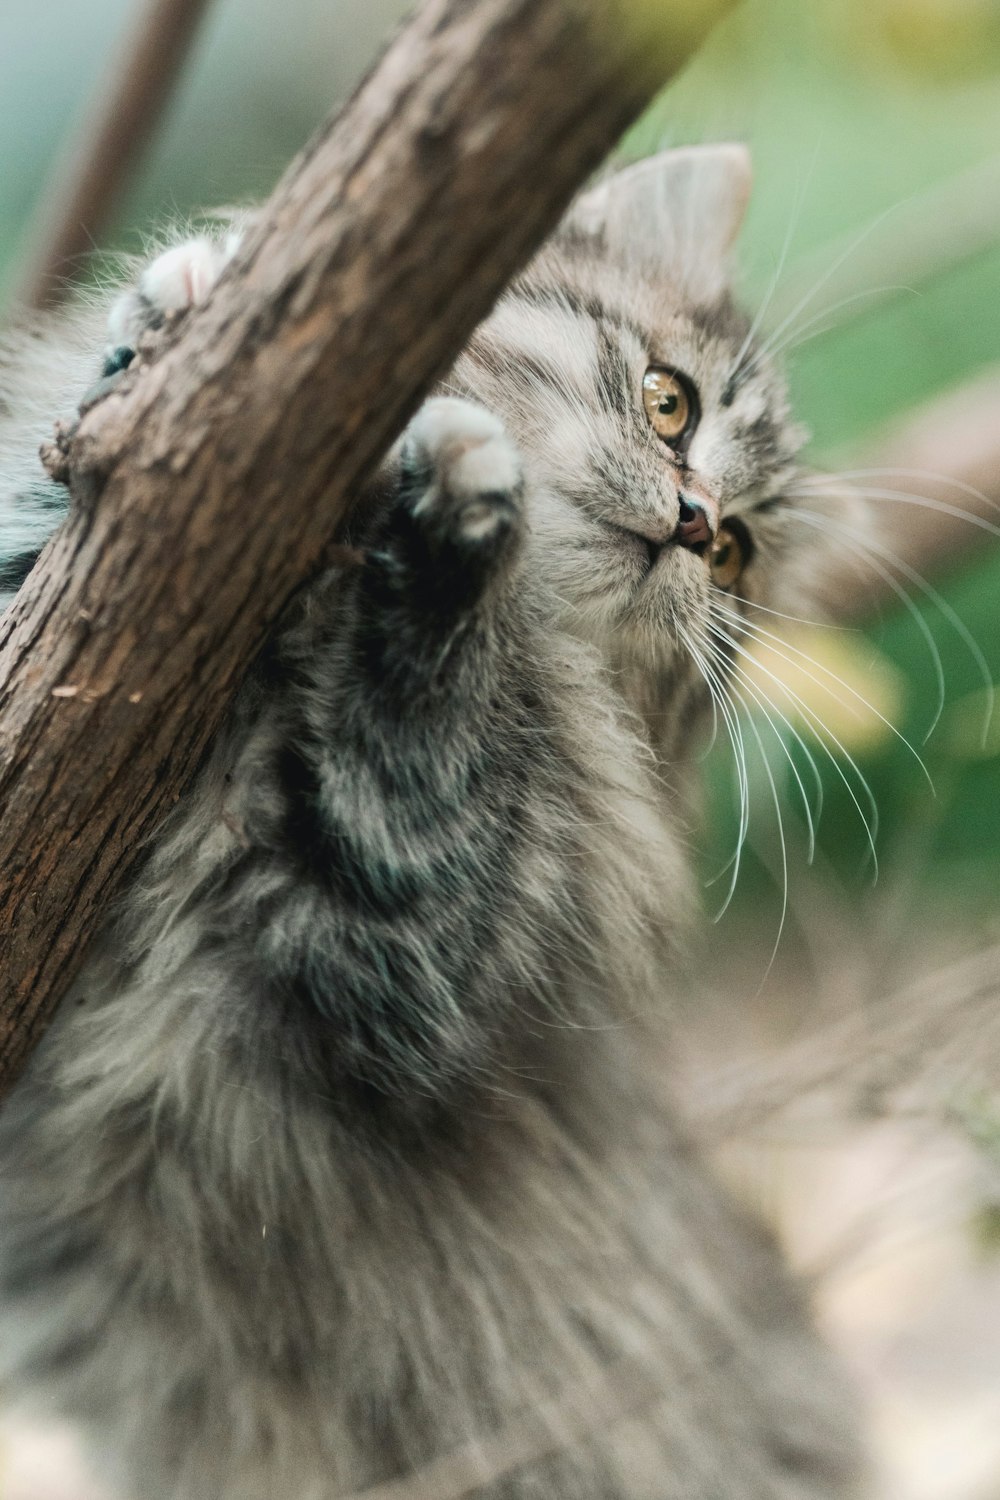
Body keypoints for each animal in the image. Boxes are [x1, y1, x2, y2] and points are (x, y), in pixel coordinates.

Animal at [0, 143, 863, 1500]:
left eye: (730, 556)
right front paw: (164, 320)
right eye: (669, 404)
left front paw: (456, 515)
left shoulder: (372, 956)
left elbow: (417, 724)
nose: (687, 521)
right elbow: (52, 525)